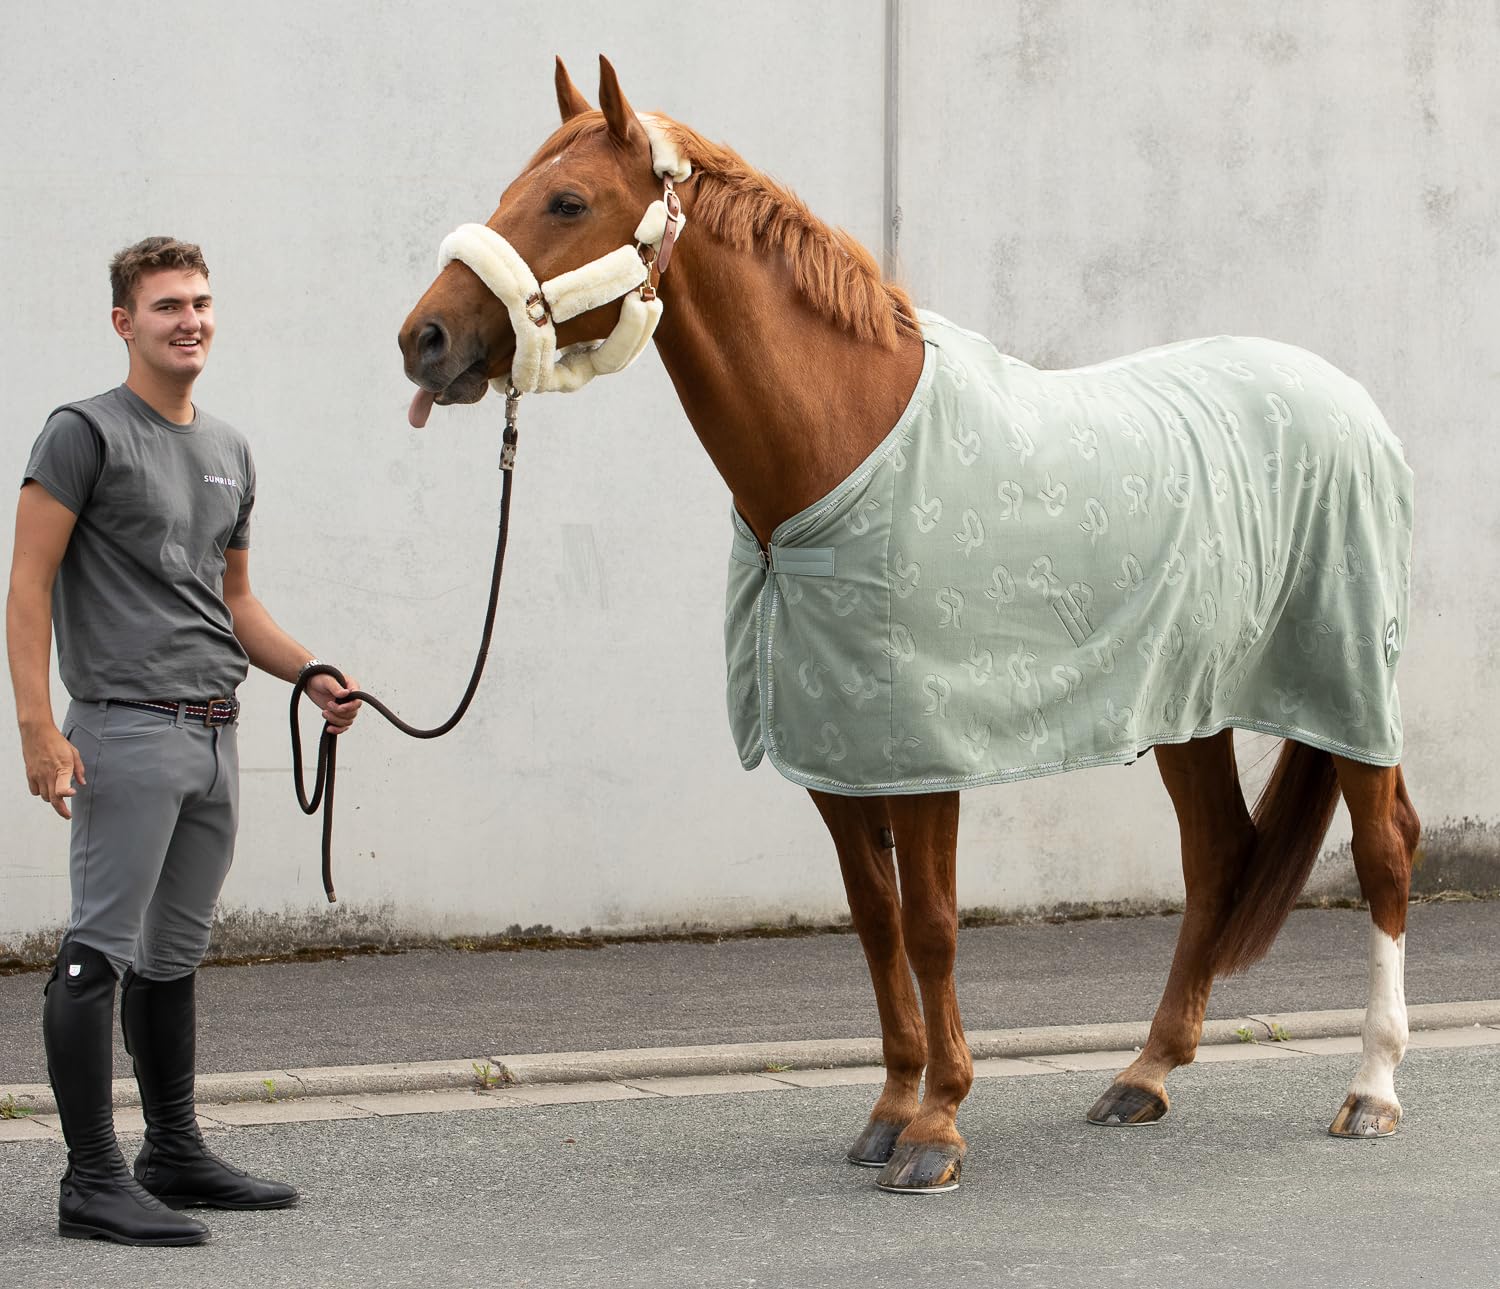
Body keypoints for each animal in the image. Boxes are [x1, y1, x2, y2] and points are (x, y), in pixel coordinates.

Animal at [397, 56, 1420, 1195]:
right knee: (1215, 860)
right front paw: (890, 1108)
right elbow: (877, 925)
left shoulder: (924, 753)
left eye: (569, 203)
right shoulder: (839, 759)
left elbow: (931, 929)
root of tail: (1350, 402)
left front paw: (939, 1125)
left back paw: (1372, 1089)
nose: (423, 340)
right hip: (1188, 708)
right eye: (509, 192)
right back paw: (1144, 1073)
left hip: (1348, 684)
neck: (843, 446)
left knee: (1386, 851)